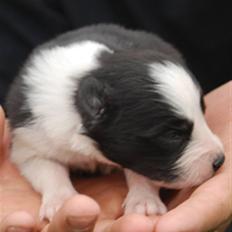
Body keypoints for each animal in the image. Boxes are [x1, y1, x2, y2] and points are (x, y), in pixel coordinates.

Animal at [5, 24, 225, 220]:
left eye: (203, 114)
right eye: (173, 135)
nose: (219, 160)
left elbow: (140, 171)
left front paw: (144, 201)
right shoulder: (30, 144)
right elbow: (49, 171)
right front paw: (61, 201)